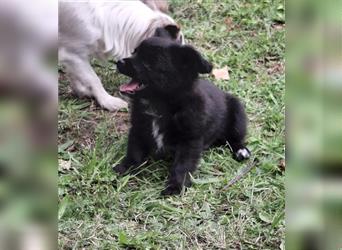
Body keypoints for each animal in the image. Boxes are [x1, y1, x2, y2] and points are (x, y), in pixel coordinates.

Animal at [113, 37, 250, 195]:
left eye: (150, 61)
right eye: (134, 52)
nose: (118, 62)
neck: (160, 104)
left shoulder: (189, 140)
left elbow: (182, 165)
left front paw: (175, 186)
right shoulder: (138, 129)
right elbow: (134, 151)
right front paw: (125, 167)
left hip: (237, 113)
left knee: (234, 138)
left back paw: (241, 150)